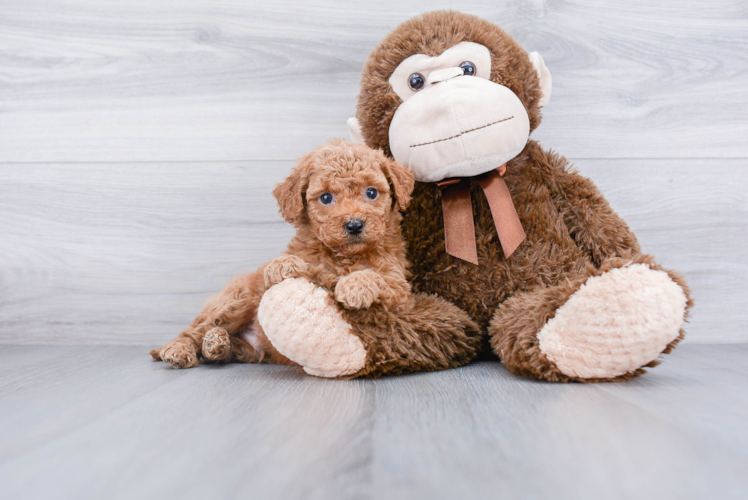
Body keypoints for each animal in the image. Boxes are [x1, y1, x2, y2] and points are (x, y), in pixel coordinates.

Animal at [153, 140, 482, 376]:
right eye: (325, 198)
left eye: (371, 193)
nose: (354, 225)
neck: (343, 257)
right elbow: (288, 264)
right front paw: (282, 265)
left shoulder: (399, 289)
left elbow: (374, 276)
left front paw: (354, 286)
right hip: (235, 301)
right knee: (194, 330)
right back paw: (184, 349)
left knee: (241, 350)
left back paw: (219, 346)